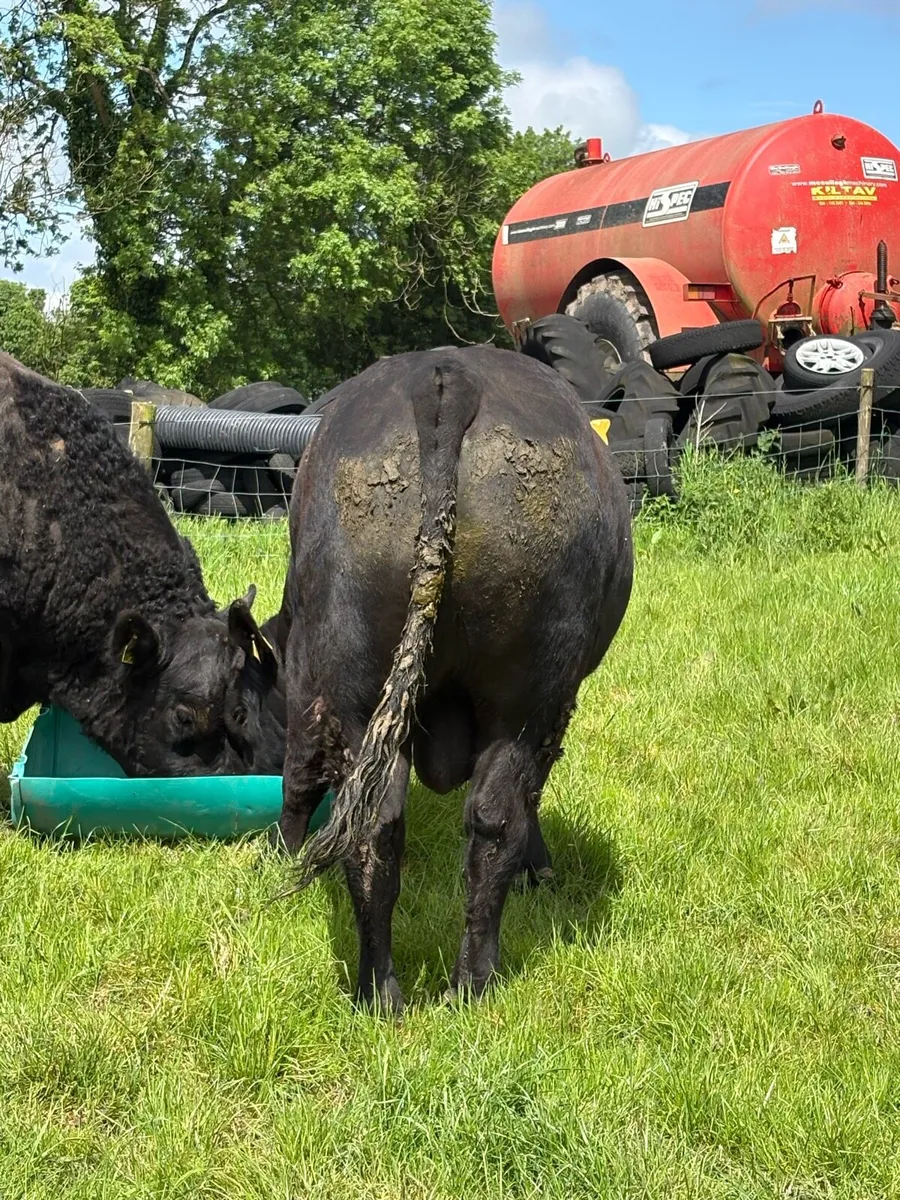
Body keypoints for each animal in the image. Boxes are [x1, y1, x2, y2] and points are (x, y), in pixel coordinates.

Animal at [275, 345, 633, 1013]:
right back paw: (474, 982)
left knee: (379, 826)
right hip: (526, 702)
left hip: (363, 694)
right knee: (496, 816)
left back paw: (383, 991)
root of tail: (447, 374)